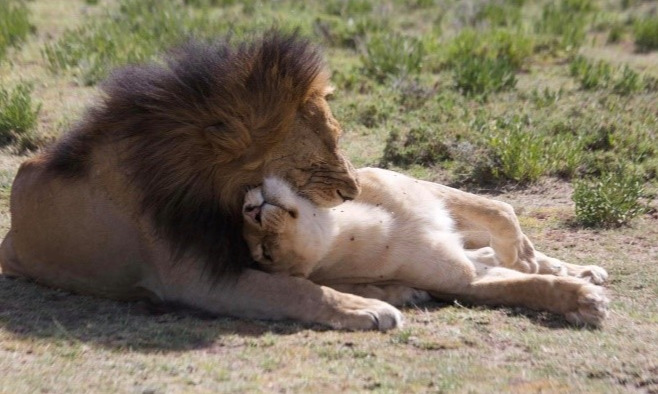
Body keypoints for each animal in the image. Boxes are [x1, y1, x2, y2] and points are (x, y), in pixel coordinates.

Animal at [242, 169, 608, 326]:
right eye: (266, 253)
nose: (251, 209)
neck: (345, 224)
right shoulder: (465, 280)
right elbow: (530, 286)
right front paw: (585, 301)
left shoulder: (427, 190)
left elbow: (499, 209)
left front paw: (521, 255)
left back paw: (580, 269)